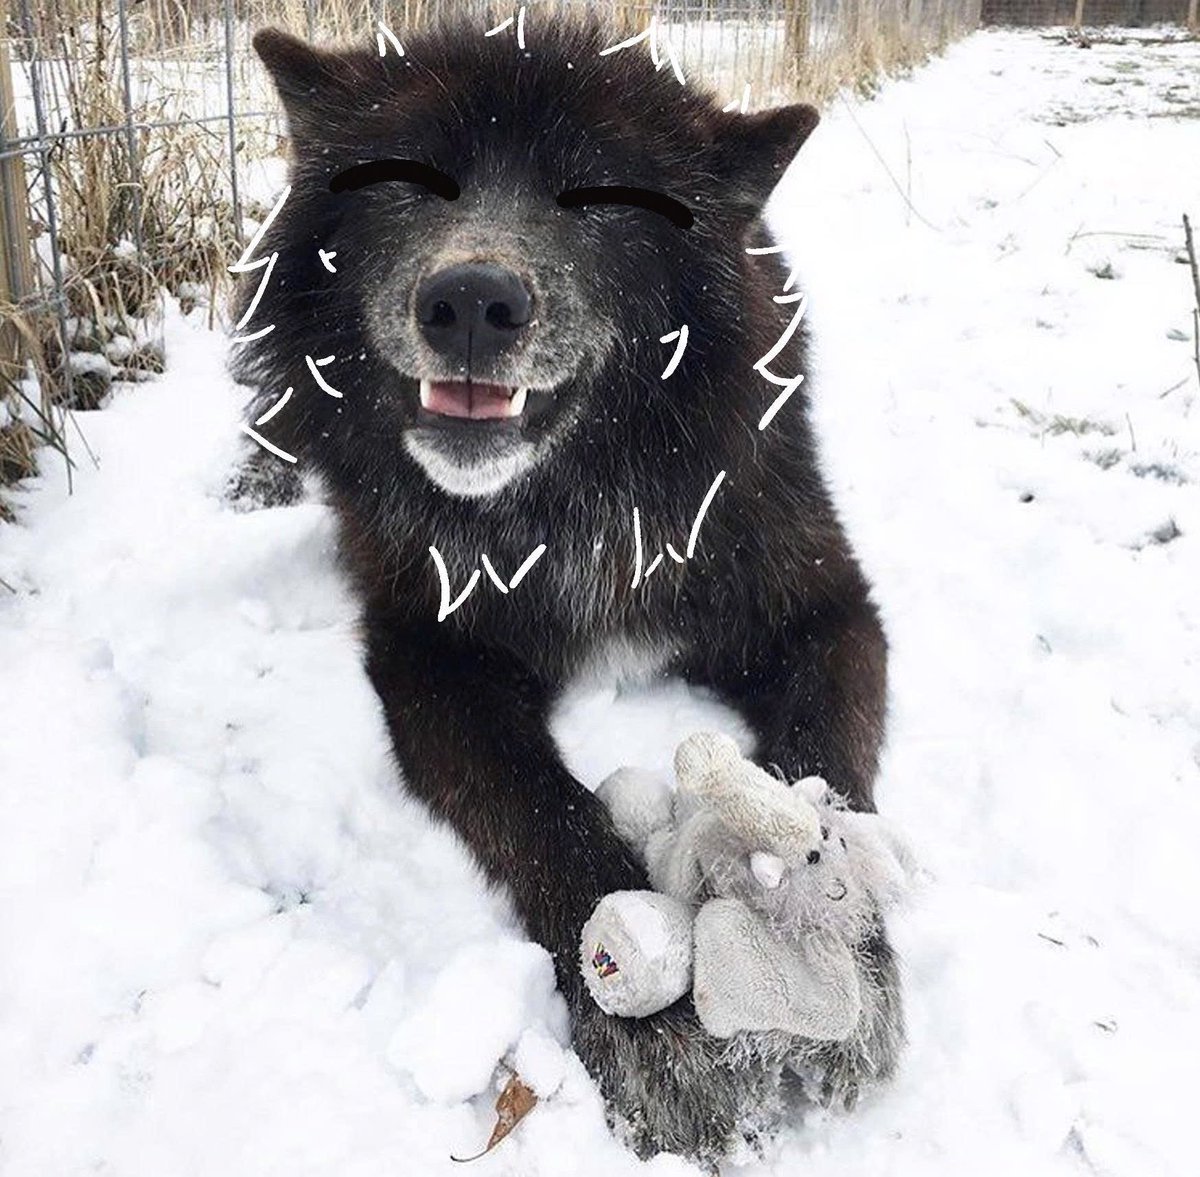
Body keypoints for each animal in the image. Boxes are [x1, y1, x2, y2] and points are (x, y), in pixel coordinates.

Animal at [235, 14, 901, 1163]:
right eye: (411, 180)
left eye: (598, 197)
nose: (470, 301)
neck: (567, 500)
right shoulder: (432, 655)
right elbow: (537, 803)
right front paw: (655, 1025)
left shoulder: (823, 606)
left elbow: (827, 771)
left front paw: (848, 955)